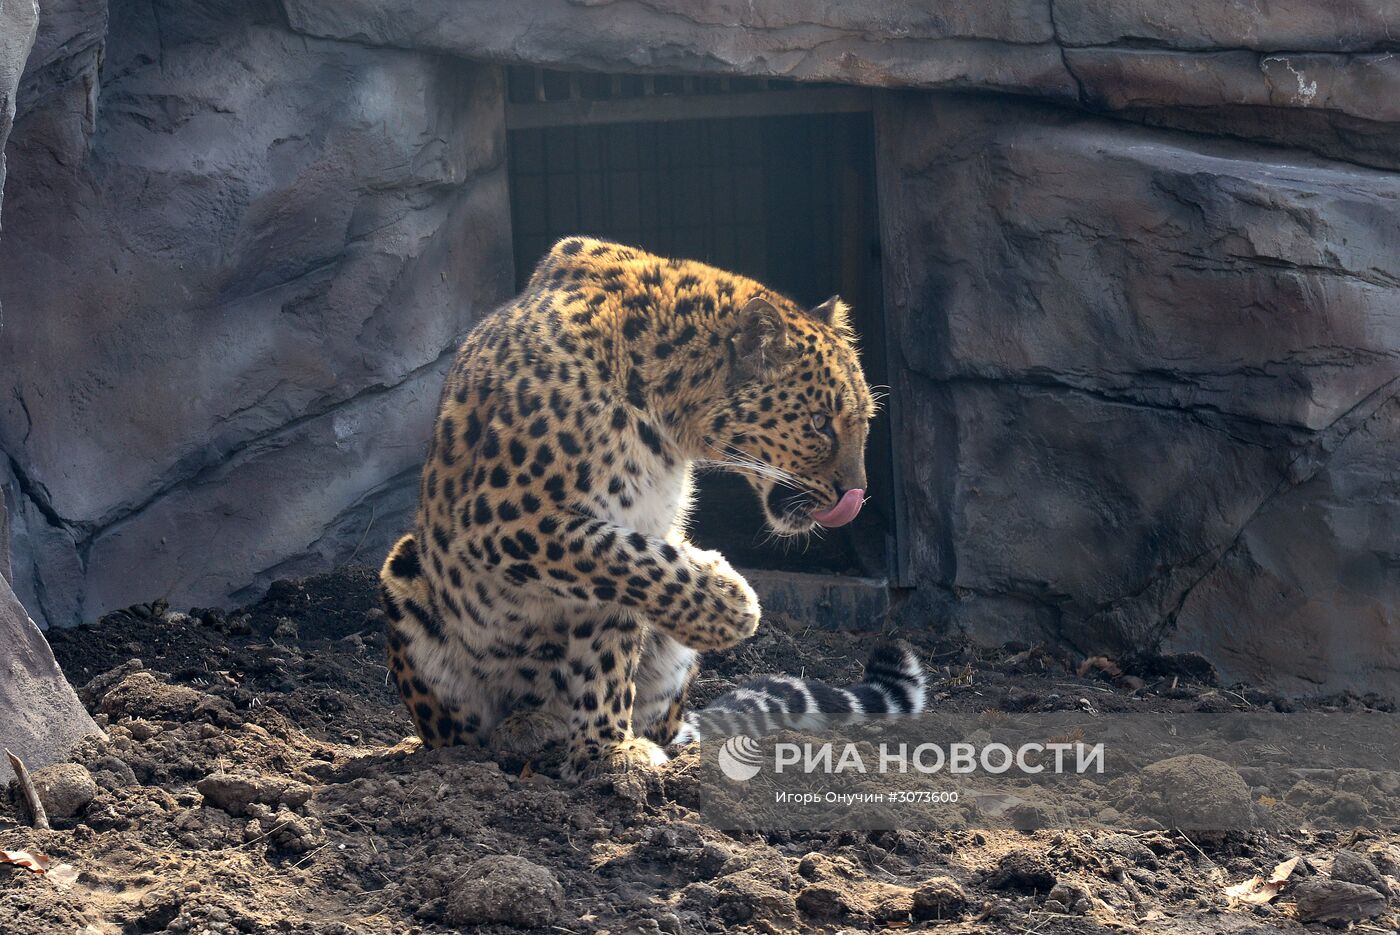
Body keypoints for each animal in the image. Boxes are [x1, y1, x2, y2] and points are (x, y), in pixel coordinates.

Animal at [378, 235, 890, 783]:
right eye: (818, 422)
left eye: (863, 421)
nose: (857, 495)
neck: (666, 419)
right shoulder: (501, 517)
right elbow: (639, 562)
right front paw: (732, 604)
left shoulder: (633, 527)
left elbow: (624, 613)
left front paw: (606, 750)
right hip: (405, 573)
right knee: (462, 735)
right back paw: (522, 729)